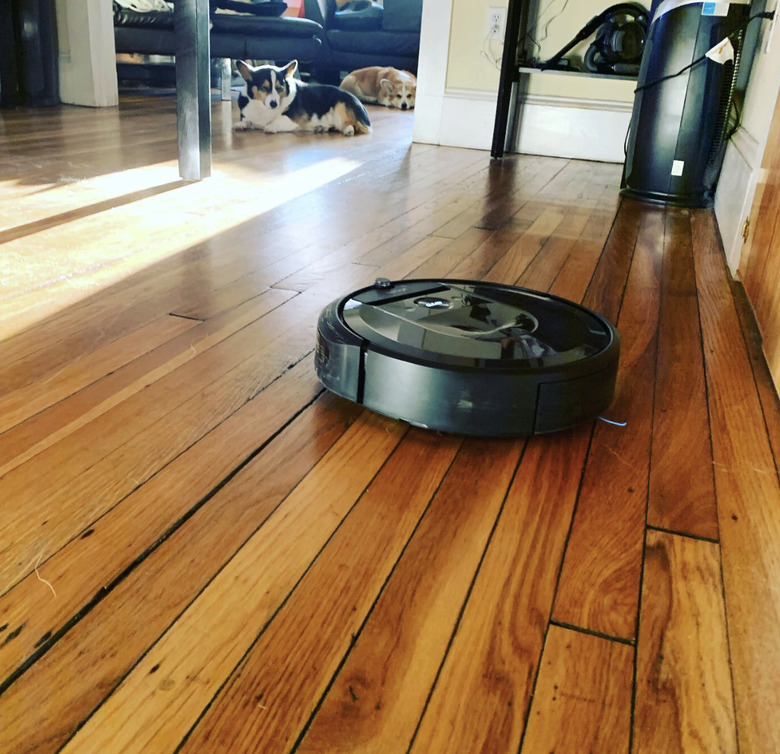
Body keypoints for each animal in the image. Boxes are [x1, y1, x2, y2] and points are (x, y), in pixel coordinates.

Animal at [235, 59, 372, 136]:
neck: (262, 109)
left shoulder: (292, 120)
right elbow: (246, 120)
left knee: (358, 126)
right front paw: (240, 125)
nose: (274, 104)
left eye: (280, 88)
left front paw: (270, 127)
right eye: (264, 87)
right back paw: (322, 128)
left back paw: (348, 130)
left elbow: (278, 120)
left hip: (341, 106)